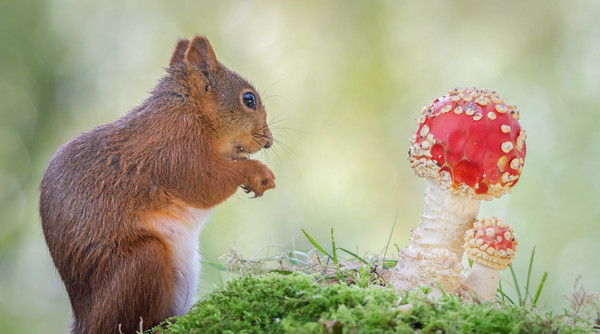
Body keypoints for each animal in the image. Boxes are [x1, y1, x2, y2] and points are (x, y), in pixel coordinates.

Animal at [38, 35, 278, 332]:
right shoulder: (175, 147)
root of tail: (86, 320)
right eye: (249, 100)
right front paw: (256, 171)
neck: (188, 108)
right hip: (143, 264)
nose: (269, 141)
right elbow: (203, 183)